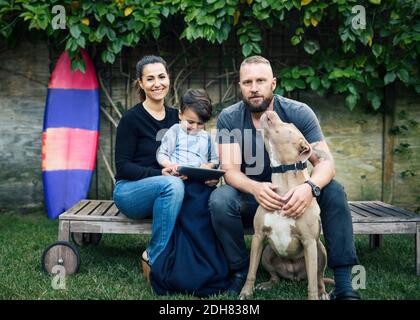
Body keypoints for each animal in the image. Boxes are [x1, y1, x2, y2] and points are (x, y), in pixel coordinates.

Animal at [240, 110, 332, 300]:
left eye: (289, 124)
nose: (270, 111)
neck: (283, 183)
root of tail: (294, 276)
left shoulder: (309, 242)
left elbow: (313, 282)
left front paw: (314, 296)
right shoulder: (258, 236)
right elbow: (251, 270)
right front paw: (245, 292)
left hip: (320, 250)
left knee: (318, 277)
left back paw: (323, 293)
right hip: (267, 252)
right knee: (274, 275)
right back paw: (267, 284)